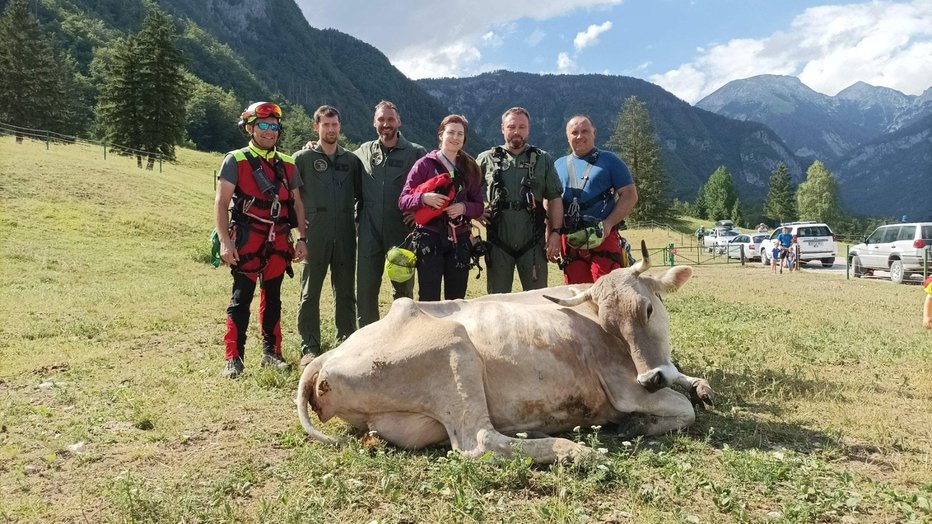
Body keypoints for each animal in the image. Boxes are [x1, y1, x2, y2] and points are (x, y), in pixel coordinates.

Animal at [296, 242, 712, 462]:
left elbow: (685, 385)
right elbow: (684, 409)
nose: (651, 377)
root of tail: (327, 356)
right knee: (479, 441)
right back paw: (573, 450)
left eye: (648, 309)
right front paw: (638, 423)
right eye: (610, 325)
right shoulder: (623, 386)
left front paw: (696, 384)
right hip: (455, 352)